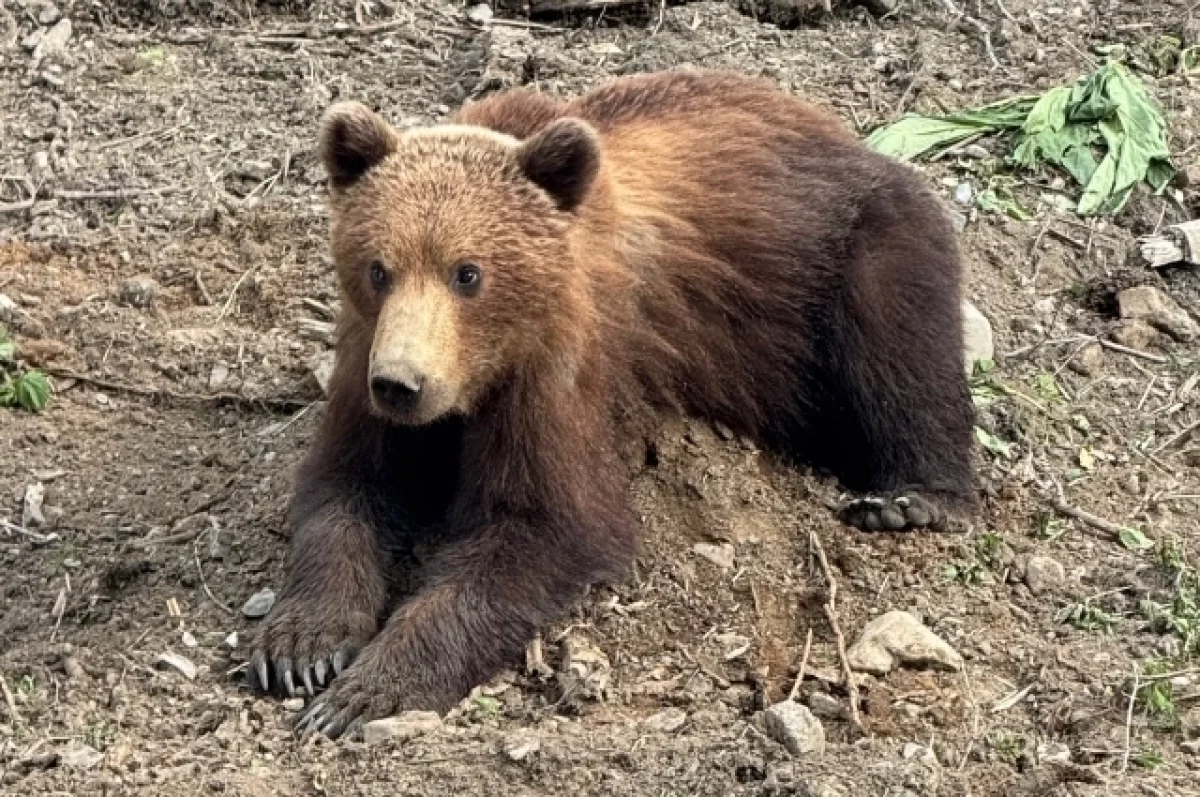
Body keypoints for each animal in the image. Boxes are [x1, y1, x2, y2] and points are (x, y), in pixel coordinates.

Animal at [247, 68, 975, 739]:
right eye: (379, 267)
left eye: (467, 272)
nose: (403, 384)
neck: (479, 374)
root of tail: (840, 131)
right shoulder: (367, 358)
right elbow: (346, 488)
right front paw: (302, 649)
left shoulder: (558, 371)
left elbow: (546, 525)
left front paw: (367, 689)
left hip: (839, 256)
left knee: (901, 348)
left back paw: (909, 497)